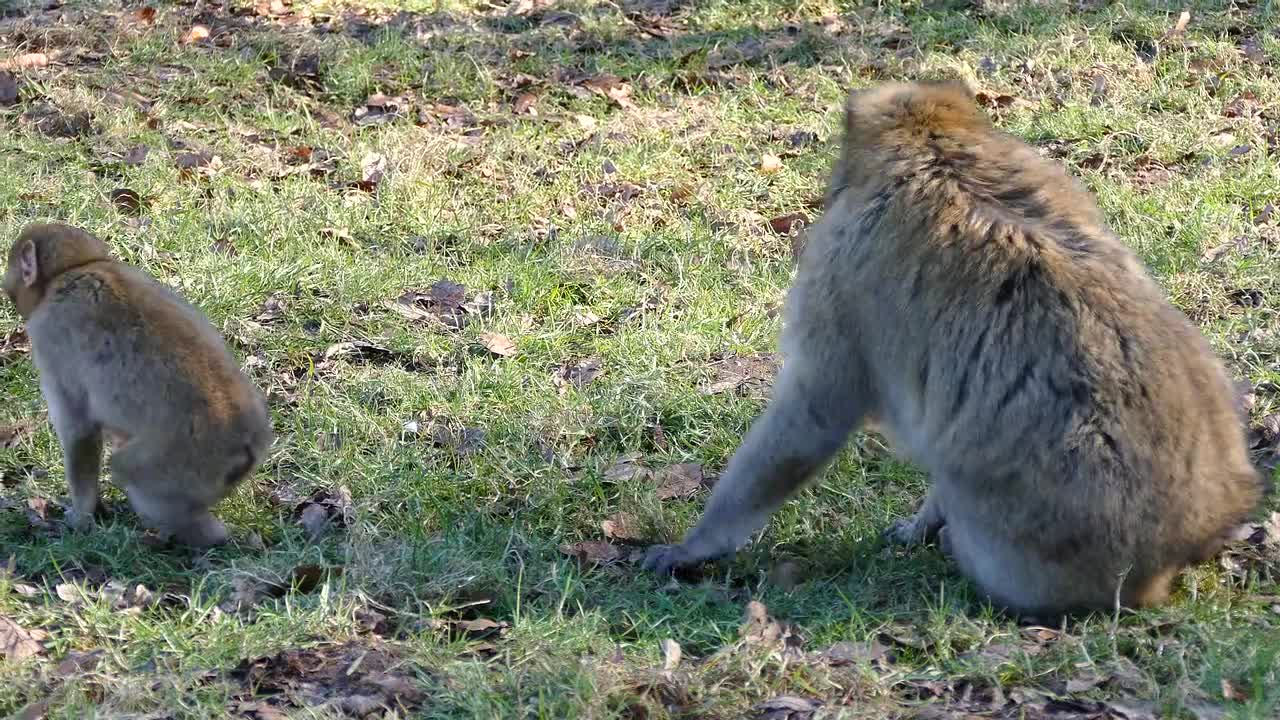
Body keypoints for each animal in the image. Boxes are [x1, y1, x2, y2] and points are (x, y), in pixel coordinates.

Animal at [4, 222, 270, 543]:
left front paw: (80, 517)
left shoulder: (50, 336)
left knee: (130, 473)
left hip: (174, 462)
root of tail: (248, 446)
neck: (73, 270)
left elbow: (79, 427)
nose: (7, 285)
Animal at [645, 81, 1264, 614]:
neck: (937, 148)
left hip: (1029, 549)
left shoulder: (838, 271)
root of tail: (1177, 552)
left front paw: (697, 545)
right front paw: (920, 523)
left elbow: (811, 415)